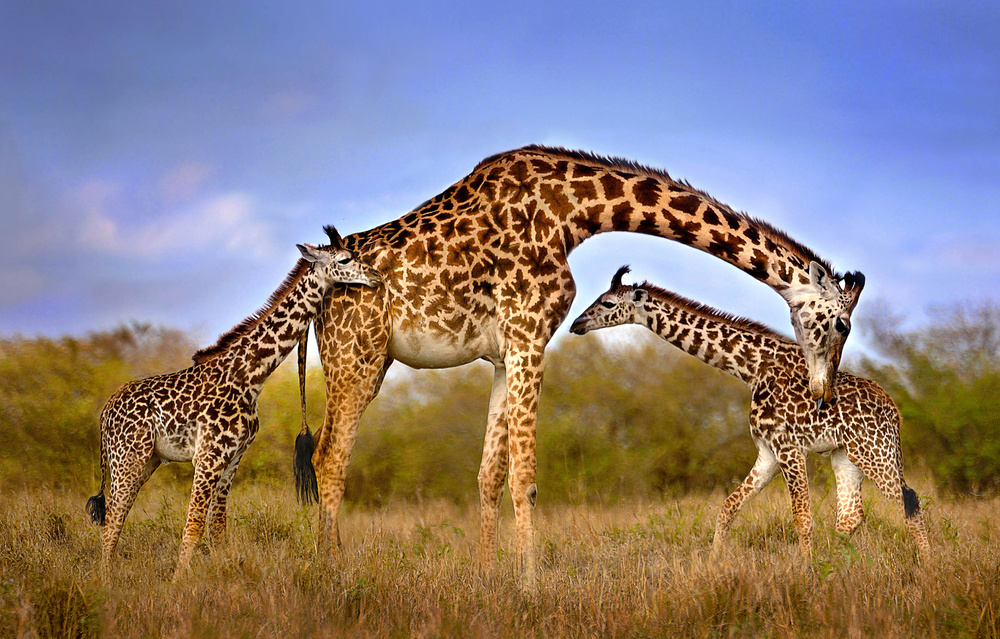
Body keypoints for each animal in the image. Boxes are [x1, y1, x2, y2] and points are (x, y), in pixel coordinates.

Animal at [84, 226, 380, 580]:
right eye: (346, 259)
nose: (376, 276)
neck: (249, 376)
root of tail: (105, 412)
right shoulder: (208, 457)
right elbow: (194, 525)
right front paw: (178, 585)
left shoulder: (233, 458)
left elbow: (217, 529)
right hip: (129, 456)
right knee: (114, 516)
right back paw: (104, 582)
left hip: (146, 460)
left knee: (118, 513)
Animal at [300, 145, 864, 584]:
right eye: (841, 324)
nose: (823, 393)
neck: (574, 210)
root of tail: (312, 288)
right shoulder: (530, 334)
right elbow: (524, 477)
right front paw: (530, 587)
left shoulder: (506, 353)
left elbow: (489, 475)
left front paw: (486, 578)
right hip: (359, 355)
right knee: (330, 457)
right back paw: (331, 573)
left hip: (362, 362)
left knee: (324, 450)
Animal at [572, 268, 928, 564]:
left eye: (606, 303)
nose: (577, 324)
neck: (751, 368)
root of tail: (894, 411)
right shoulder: (767, 453)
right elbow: (728, 507)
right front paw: (713, 565)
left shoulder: (788, 448)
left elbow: (802, 517)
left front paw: (807, 574)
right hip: (846, 456)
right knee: (851, 516)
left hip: (875, 452)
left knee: (908, 501)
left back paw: (926, 569)